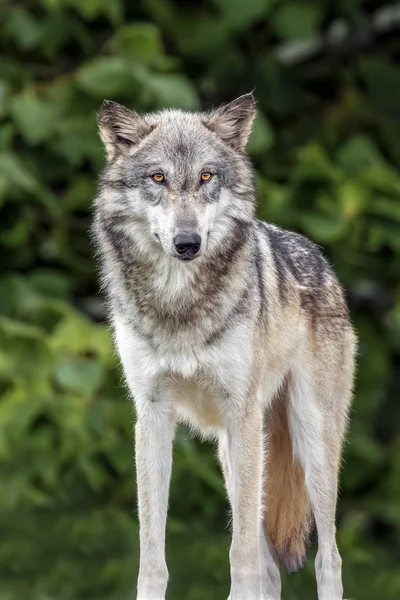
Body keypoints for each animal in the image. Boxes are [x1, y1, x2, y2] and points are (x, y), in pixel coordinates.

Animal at [93, 94, 356, 600]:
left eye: (206, 177)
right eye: (158, 178)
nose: (187, 243)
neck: (179, 305)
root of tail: (321, 257)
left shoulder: (241, 412)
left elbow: (241, 553)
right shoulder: (152, 416)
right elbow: (151, 552)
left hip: (306, 440)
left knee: (328, 558)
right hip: (235, 454)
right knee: (272, 569)